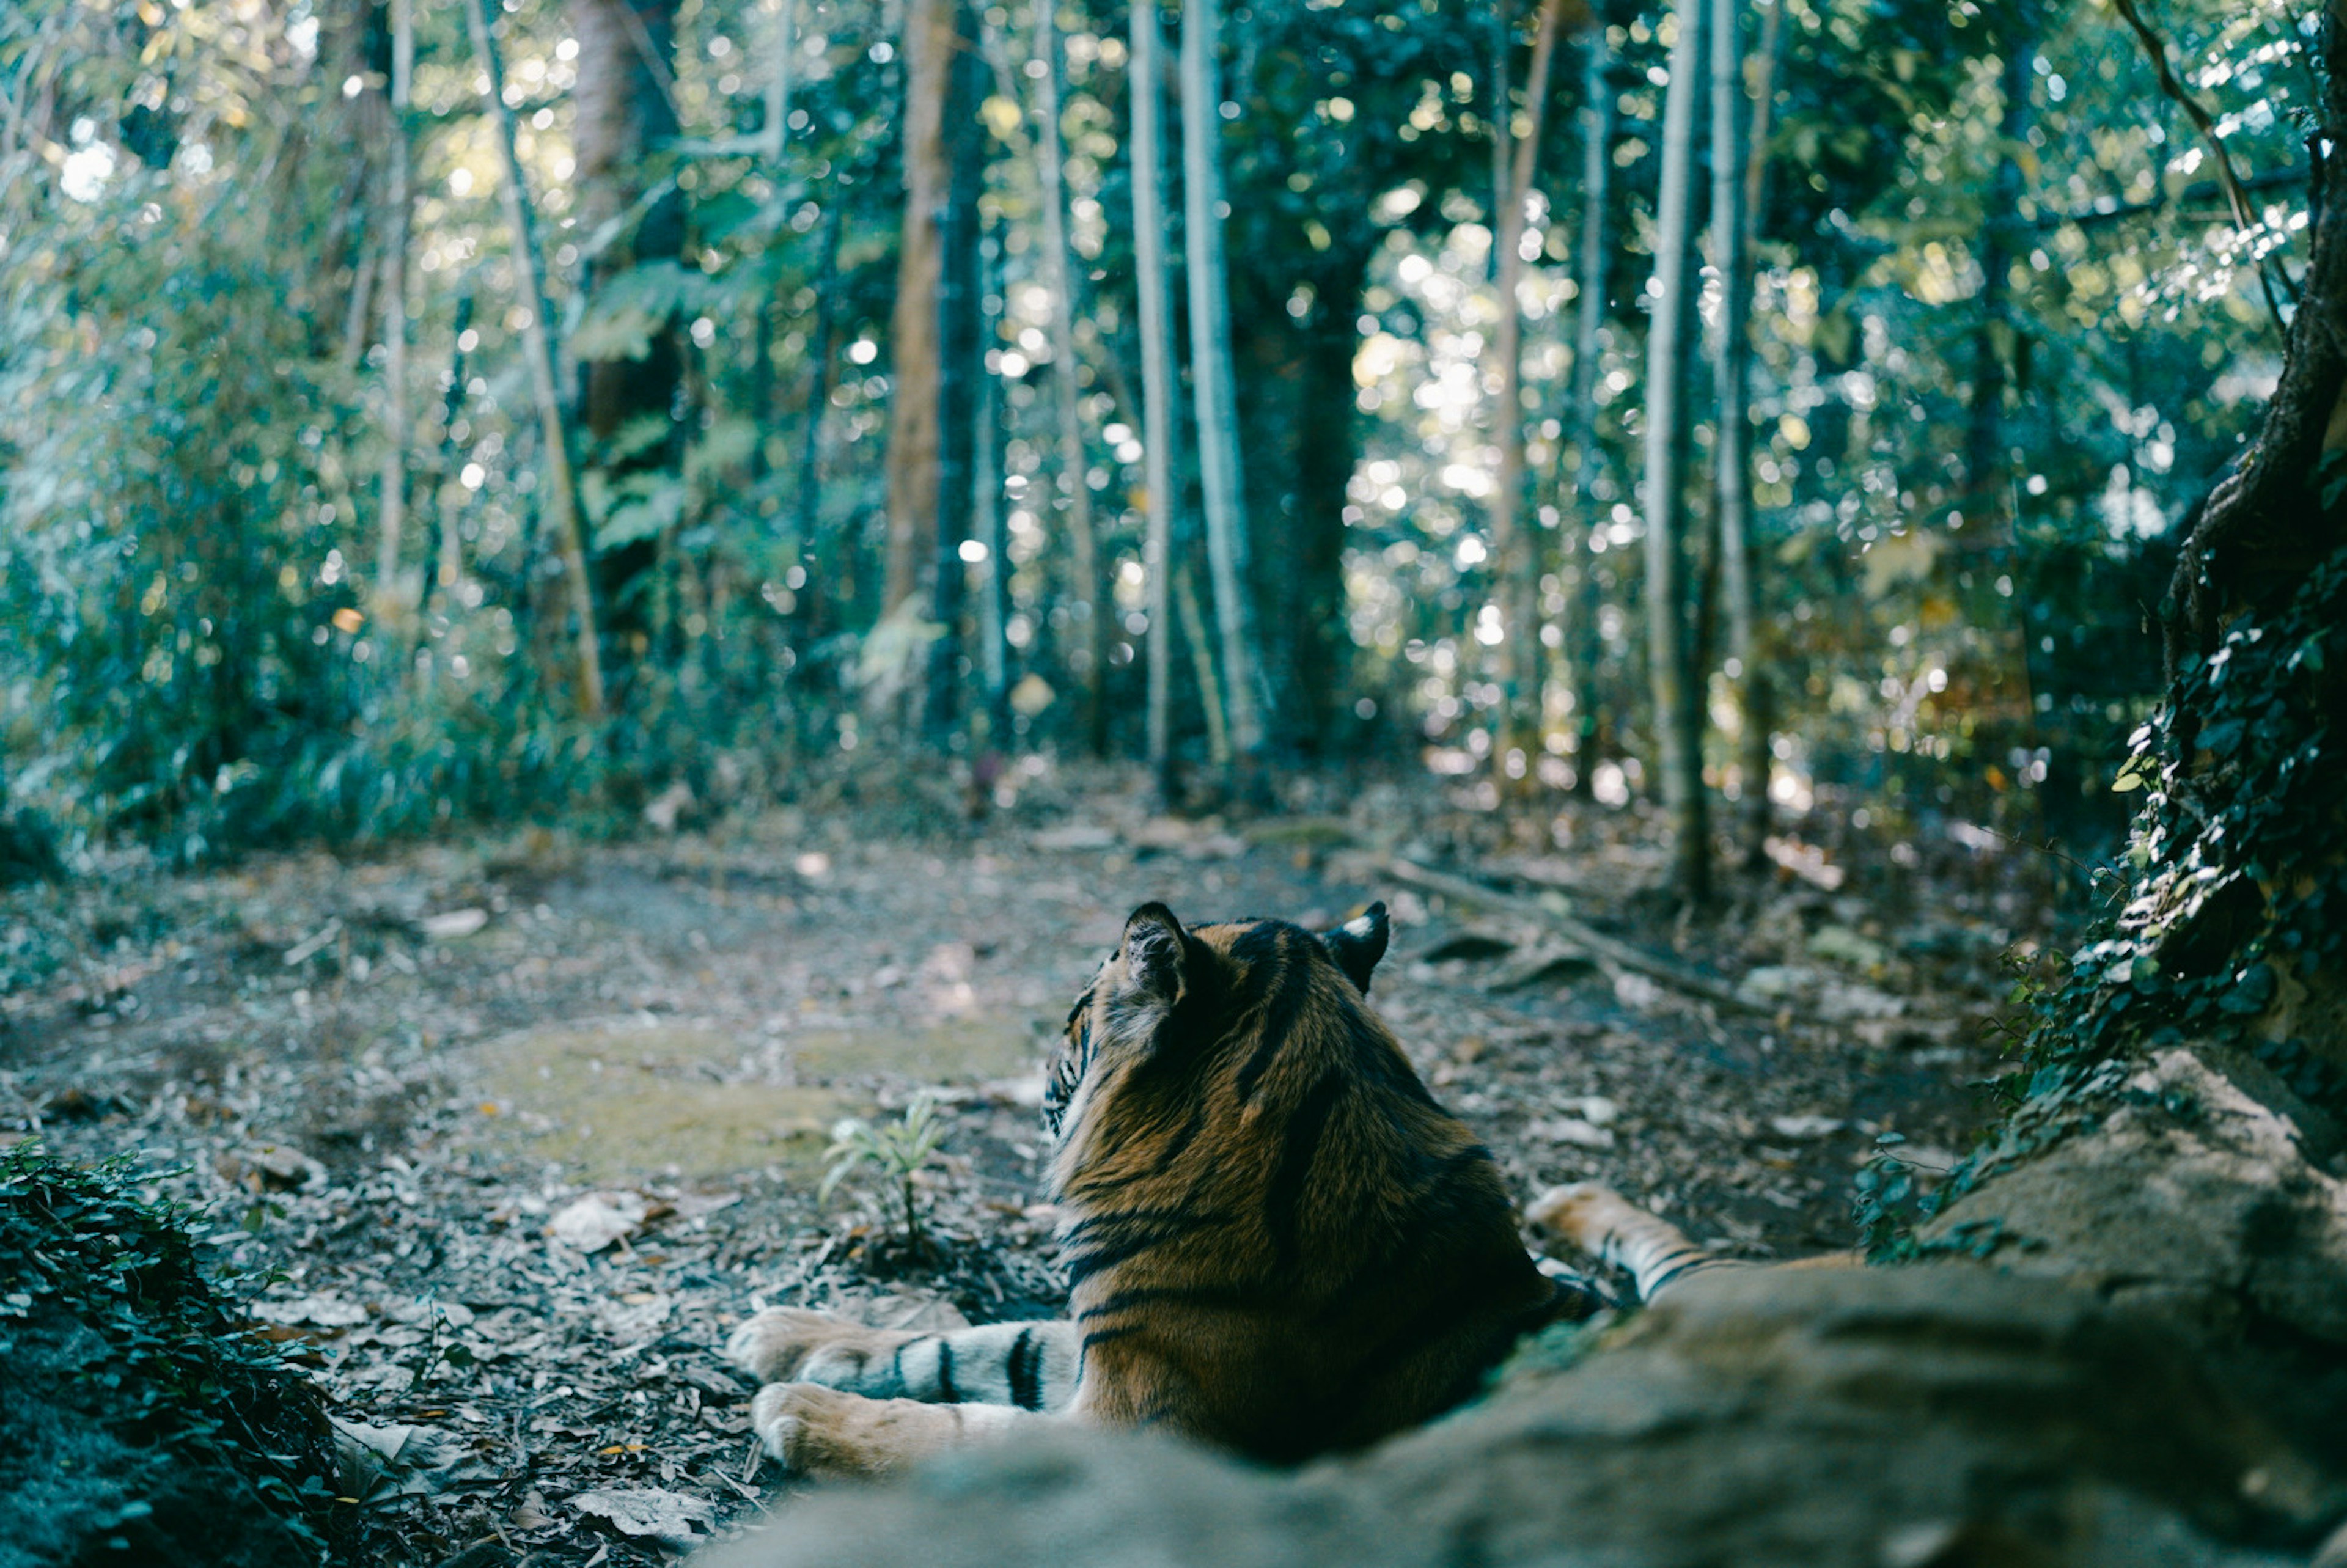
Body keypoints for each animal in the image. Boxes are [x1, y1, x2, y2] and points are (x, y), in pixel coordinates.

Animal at [722, 901, 1736, 1474]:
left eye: (1073, 1025)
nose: (1035, 1077)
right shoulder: (1112, 1340)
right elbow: (971, 1340)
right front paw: (793, 1334)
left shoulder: (1145, 1422)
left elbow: (968, 1428)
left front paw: (803, 1410)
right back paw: (1569, 1200)